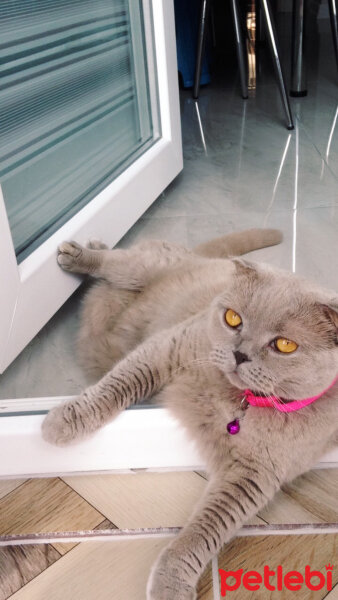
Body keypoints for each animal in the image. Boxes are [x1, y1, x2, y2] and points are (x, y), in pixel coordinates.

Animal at [42, 230, 338, 600]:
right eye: (233, 319)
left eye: (285, 345)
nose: (239, 354)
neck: (236, 401)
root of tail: (203, 256)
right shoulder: (169, 346)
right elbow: (119, 384)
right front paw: (64, 421)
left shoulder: (255, 476)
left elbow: (203, 532)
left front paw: (170, 583)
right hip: (142, 268)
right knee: (116, 262)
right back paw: (82, 252)